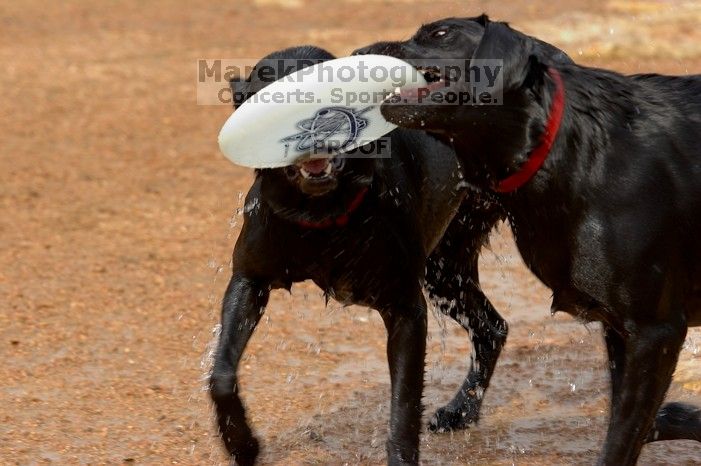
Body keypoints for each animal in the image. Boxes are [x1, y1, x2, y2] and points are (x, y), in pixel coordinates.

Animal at [206, 44, 504, 466]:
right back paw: (461, 412)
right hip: (445, 271)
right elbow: (221, 374)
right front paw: (241, 443)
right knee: (492, 327)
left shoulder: (405, 309)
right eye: (269, 83)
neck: (323, 214)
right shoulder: (249, 280)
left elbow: (403, 408)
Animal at [356, 13, 700, 462]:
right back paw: (461, 410)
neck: (560, 149)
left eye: (441, 34)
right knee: (492, 326)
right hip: (441, 265)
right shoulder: (620, 330)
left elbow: (624, 436)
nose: (358, 54)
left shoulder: (653, 330)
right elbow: (642, 421)